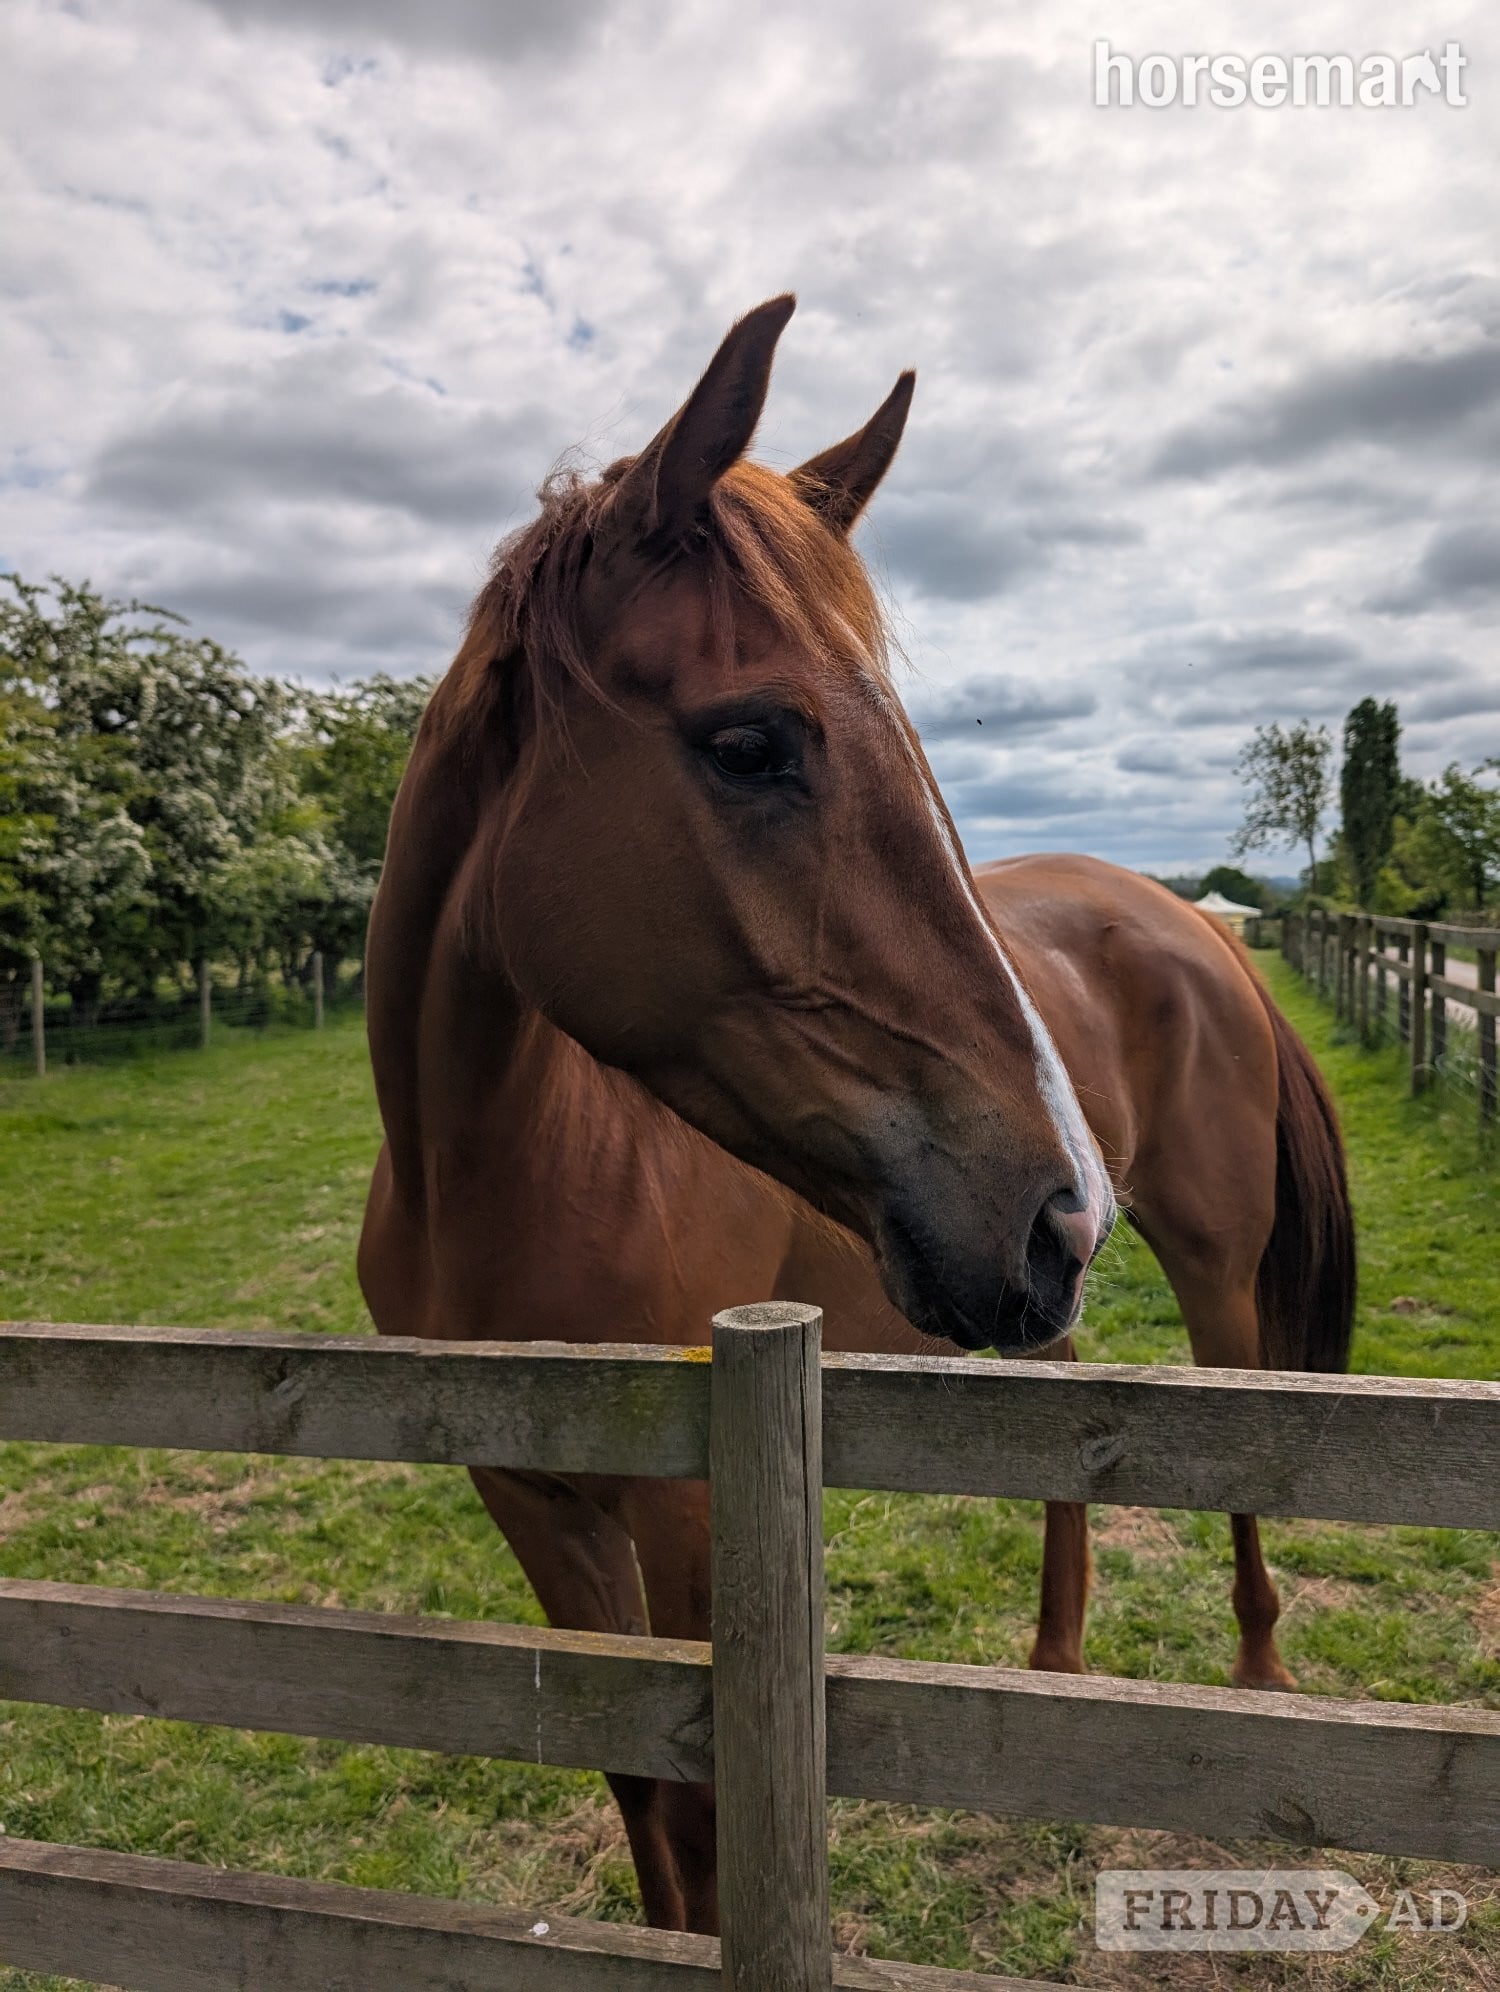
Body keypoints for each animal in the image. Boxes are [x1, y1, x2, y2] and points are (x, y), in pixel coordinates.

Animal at [358, 295, 1355, 1936]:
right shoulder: (531, 1503)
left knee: (1243, 1447)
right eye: (751, 743)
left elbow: (702, 1814)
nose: (1057, 1201)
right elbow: (634, 1786)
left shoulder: (688, 1511)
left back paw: (1261, 1671)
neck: (499, 1175)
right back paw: (1056, 1663)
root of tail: (1196, 924)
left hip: (1212, 1268)